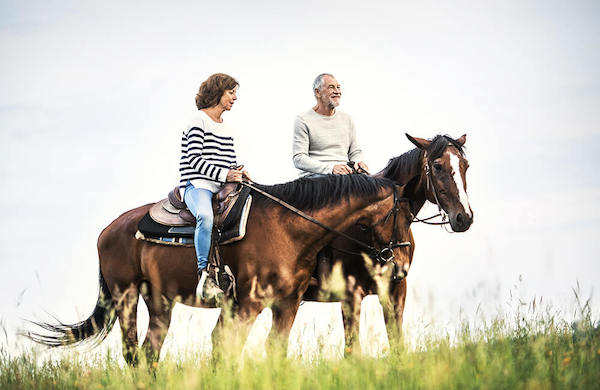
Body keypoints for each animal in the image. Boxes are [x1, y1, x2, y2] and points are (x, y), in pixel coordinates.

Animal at [27, 174, 412, 366]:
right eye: (404, 216)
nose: (402, 265)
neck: (290, 227)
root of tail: (107, 231)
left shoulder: (286, 304)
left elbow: (271, 350)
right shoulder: (247, 304)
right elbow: (226, 348)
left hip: (159, 301)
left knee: (149, 352)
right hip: (126, 295)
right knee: (132, 352)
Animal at [304, 135, 474, 342]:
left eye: (465, 165)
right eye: (437, 166)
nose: (464, 217)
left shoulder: (395, 291)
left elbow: (397, 342)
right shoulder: (350, 296)